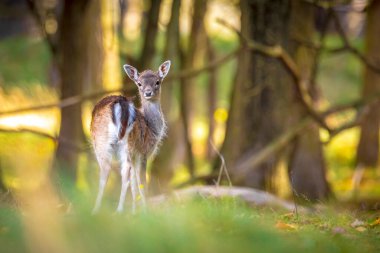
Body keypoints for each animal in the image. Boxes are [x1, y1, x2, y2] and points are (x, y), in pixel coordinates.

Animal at [90, 61, 170, 213]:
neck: (152, 128)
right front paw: (144, 210)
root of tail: (119, 104)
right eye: (139, 83)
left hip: (100, 141)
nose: (148, 92)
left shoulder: (136, 154)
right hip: (127, 143)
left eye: (157, 82)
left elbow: (134, 181)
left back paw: (96, 210)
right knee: (125, 173)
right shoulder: (143, 152)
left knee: (106, 171)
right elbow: (140, 180)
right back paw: (119, 210)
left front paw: (134, 211)